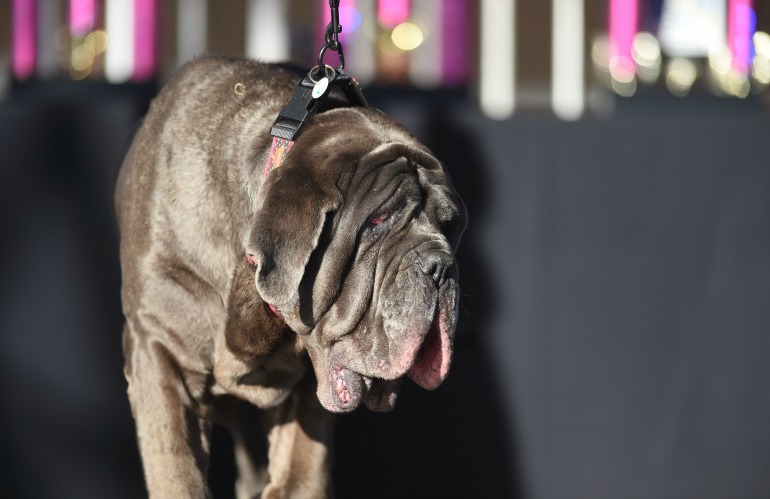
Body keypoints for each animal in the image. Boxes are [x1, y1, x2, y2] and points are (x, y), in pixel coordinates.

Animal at [113, 56, 462, 498]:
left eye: (448, 225)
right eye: (378, 221)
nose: (440, 266)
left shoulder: (307, 387)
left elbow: (301, 469)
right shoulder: (158, 345)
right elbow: (175, 466)